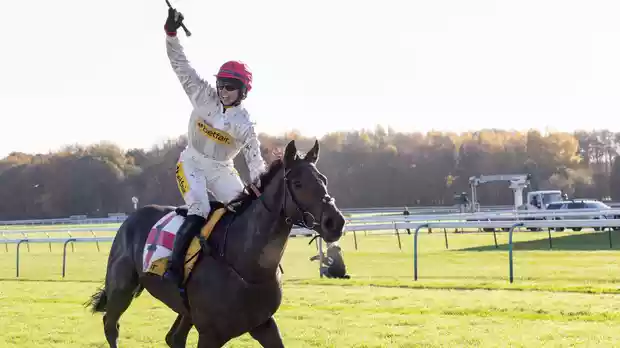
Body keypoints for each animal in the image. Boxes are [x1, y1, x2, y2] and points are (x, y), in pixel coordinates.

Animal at [85, 140, 346, 346]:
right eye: (298, 183)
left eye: (323, 179)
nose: (336, 222)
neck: (246, 264)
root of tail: (130, 218)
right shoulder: (211, 334)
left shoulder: (263, 324)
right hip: (121, 287)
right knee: (110, 325)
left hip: (184, 309)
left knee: (174, 338)